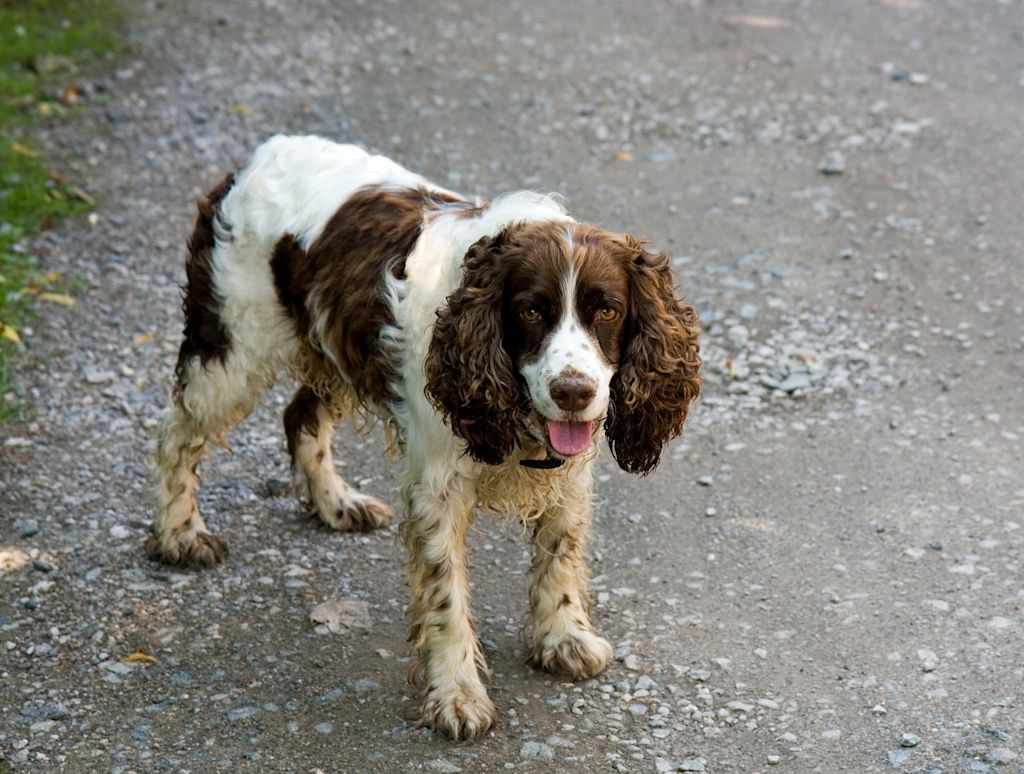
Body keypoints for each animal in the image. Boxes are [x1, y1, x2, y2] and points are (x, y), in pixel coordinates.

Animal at [148, 136, 700, 741]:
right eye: (531, 310)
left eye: (608, 309)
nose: (574, 391)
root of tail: (254, 157)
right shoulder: (438, 487)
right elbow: (445, 595)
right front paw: (457, 695)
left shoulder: (569, 475)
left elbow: (561, 553)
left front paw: (564, 639)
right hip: (231, 349)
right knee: (175, 434)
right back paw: (179, 534)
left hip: (332, 346)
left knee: (298, 416)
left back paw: (336, 504)